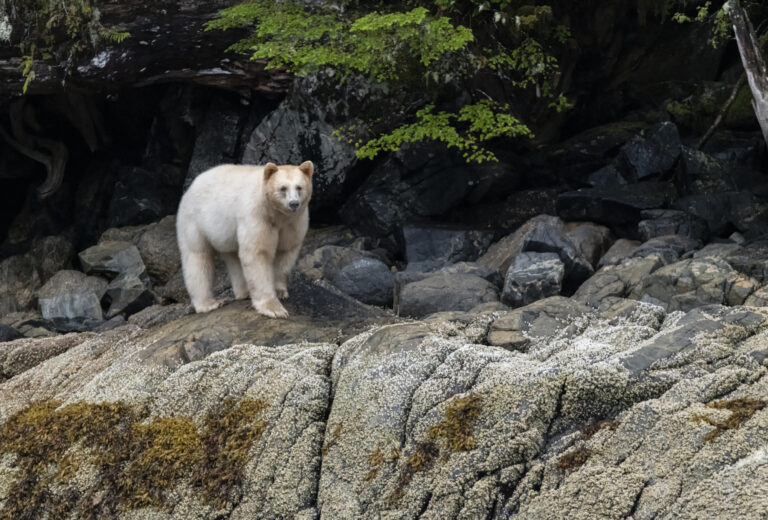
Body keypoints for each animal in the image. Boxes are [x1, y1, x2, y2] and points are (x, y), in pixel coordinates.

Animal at [176, 161, 313, 318]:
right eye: (283, 188)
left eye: (299, 187)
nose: (293, 203)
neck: (276, 214)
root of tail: (191, 186)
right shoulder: (257, 215)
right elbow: (257, 253)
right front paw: (274, 309)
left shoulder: (293, 222)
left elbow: (286, 251)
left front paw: (280, 291)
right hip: (194, 221)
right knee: (198, 258)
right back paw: (209, 303)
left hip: (226, 234)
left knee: (233, 257)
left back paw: (244, 292)